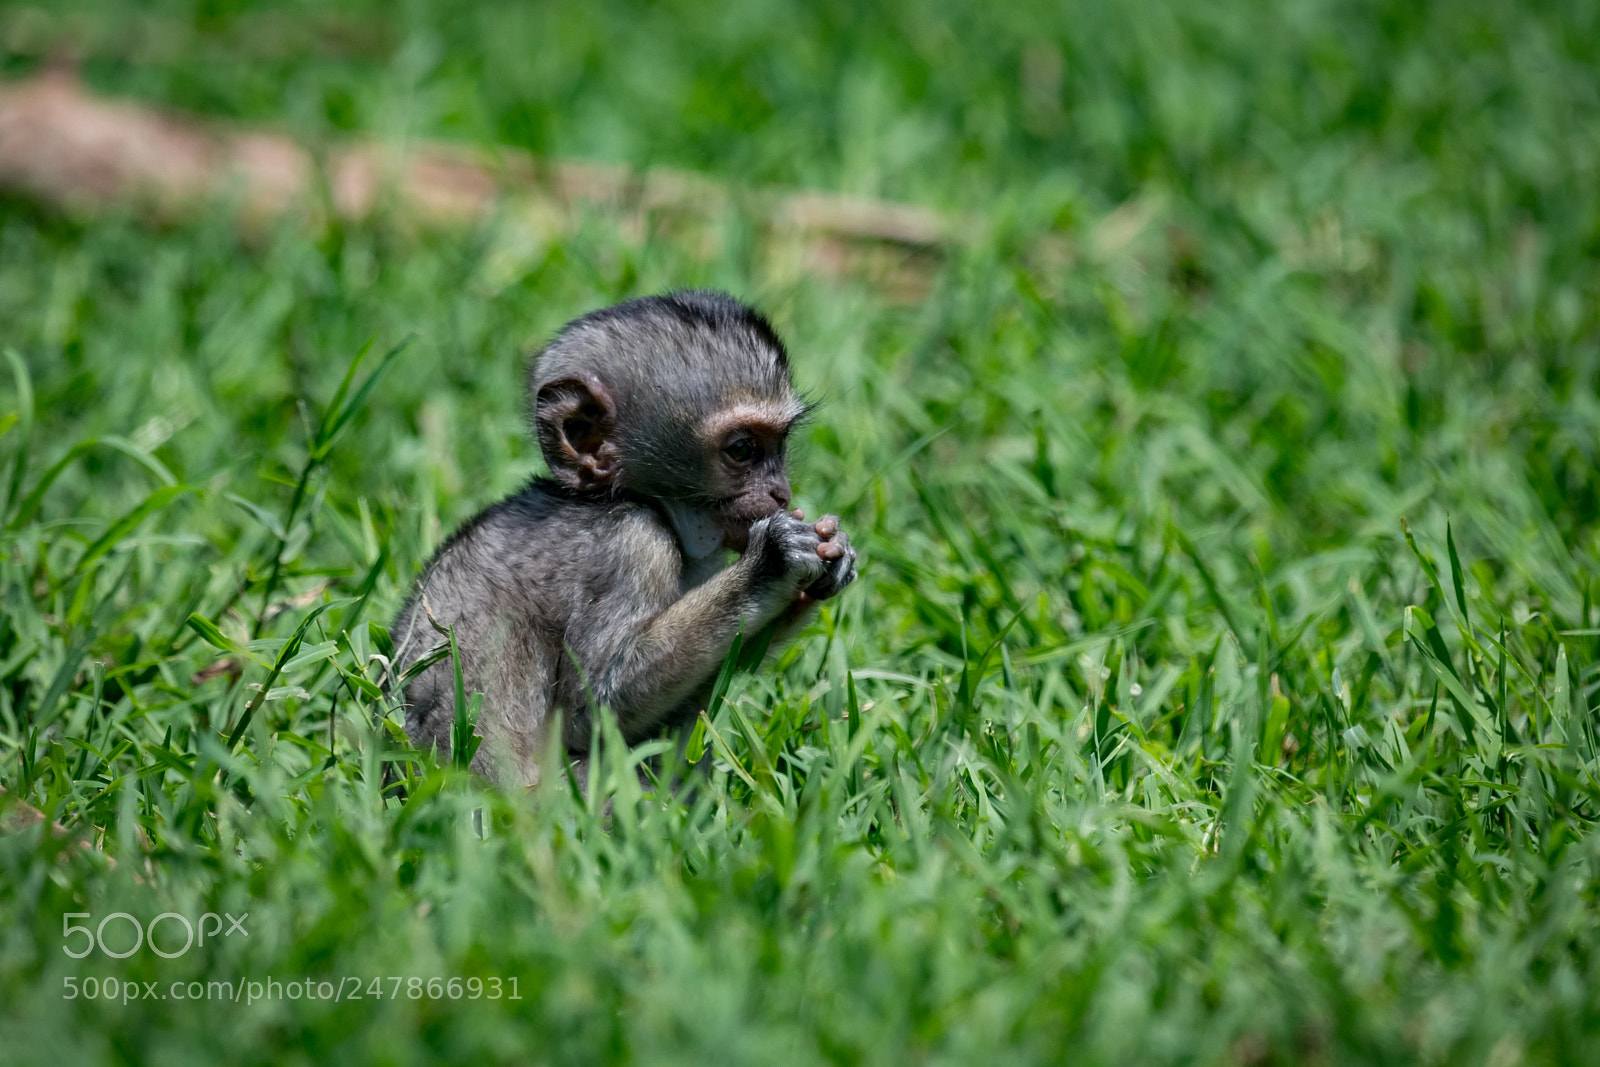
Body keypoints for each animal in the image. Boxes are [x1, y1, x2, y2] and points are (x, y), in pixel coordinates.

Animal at [388, 290, 857, 789]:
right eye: (742, 450)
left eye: (779, 446)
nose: (780, 492)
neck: (627, 498)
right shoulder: (630, 543)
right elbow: (590, 711)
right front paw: (773, 561)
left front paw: (824, 567)